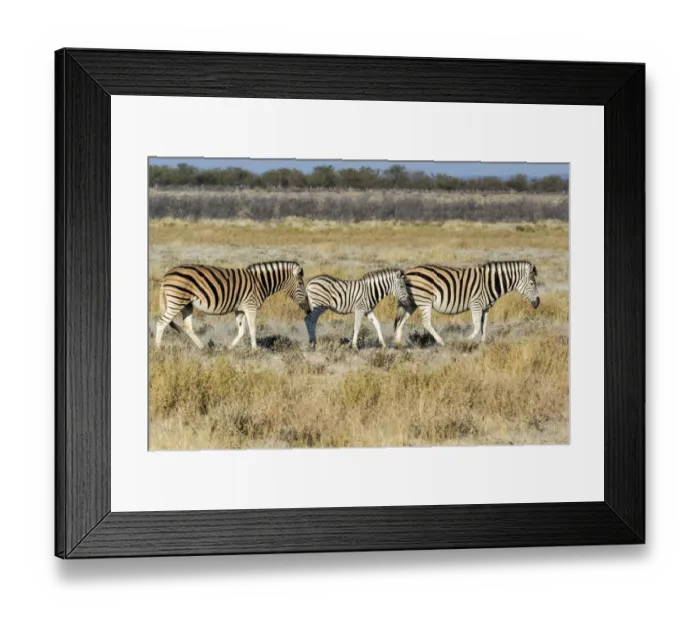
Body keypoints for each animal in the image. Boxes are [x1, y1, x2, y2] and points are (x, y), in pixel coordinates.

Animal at [155, 261, 309, 350]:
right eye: (301, 283)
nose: (307, 308)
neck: (260, 283)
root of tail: (166, 275)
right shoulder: (250, 306)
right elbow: (252, 329)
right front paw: (255, 350)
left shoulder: (239, 309)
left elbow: (241, 330)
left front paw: (230, 348)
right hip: (177, 301)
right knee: (161, 323)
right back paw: (158, 349)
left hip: (186, 304)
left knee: (187, 327)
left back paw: (203, 348)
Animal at [394, 261, 540, 347]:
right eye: (532, 283)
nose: (538, 303)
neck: (490, 283)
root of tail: (408, 272)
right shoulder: (476, 304)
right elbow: (476, 327)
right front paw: (465, 341)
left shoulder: (486, 308)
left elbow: (484, 326)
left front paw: (483, 343)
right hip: (425, 301)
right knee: (426, 322)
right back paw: (441, 342)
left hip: (411, 303)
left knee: (401, 321)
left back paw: (398, 343)